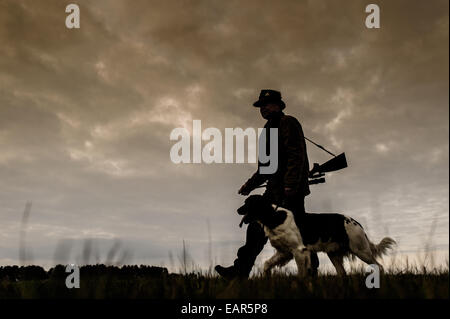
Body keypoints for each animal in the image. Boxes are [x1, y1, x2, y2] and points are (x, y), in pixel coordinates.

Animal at [237, 195, 396, 278]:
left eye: (248, 203)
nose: (238, 210)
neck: (273, 217)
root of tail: (357, 223)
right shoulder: (284, 252)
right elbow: (267, 264)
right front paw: (266, 277)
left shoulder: (299, 251)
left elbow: (301, 274)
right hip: (334, 254)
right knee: (342, 273)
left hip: (361, 250)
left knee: (379, 267)